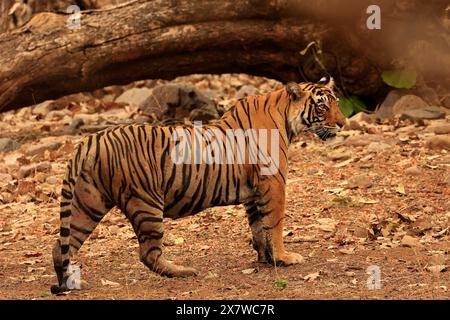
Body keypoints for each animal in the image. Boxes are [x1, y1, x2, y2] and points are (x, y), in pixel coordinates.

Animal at [50, 76, 344, 294]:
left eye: (336, 103)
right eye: (321, 107)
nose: (342, 123)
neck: (284, 114)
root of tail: (90, 141)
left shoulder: (254, 191)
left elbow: (259, 226)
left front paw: (265, 258)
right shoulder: (273, 183)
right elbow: (275, 223)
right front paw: (284, 257)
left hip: (88, 203)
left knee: (60, 246)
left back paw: (69, 283)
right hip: (145, 202)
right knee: (148, 254)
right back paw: (183, 272)